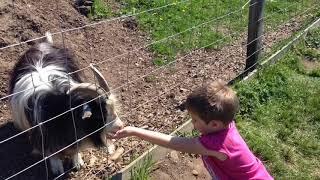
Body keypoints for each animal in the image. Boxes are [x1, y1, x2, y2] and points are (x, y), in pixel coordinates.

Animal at [8, 32, 124, 176]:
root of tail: (43, 43)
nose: (120, 126)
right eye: (99, 115)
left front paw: (78, 162)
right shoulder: (43, 133)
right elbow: (51, 151)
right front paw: (57, 169)